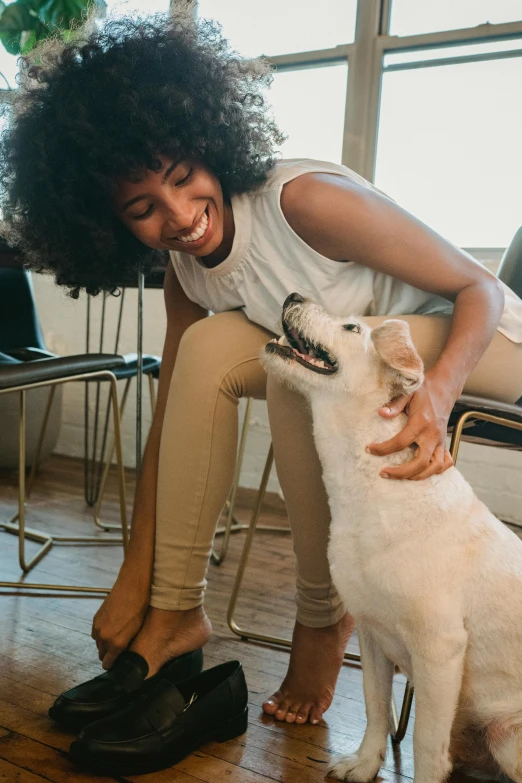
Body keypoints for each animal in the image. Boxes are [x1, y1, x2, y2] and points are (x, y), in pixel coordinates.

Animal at [262, 292, 520, 783]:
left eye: (352, 328)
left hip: (507, 734)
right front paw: (363, 765)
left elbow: (426, 746)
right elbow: (375, 707)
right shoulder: (371, 632)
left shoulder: (439, 650)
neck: (369, 487)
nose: (292, 296)